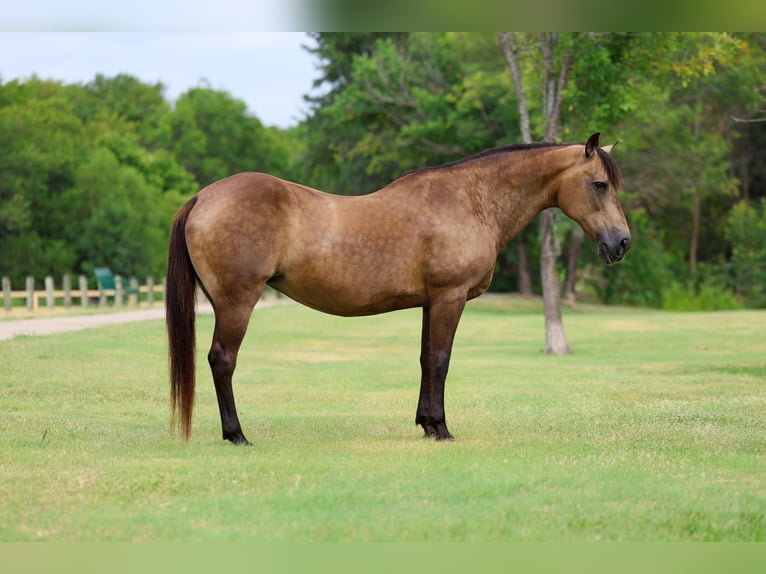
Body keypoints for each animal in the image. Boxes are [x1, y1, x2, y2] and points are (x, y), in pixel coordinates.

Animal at [166, 132, 630, 445]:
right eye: (600, 184)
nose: (621, 243)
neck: (470, 200)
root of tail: (202, 197)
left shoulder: (431, 303)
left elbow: (426, 360)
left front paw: (426, 423)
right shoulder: (449, 298)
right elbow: (441, 361)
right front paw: (441, 429)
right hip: (237, 303)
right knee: (222, 360)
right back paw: (237, 434)